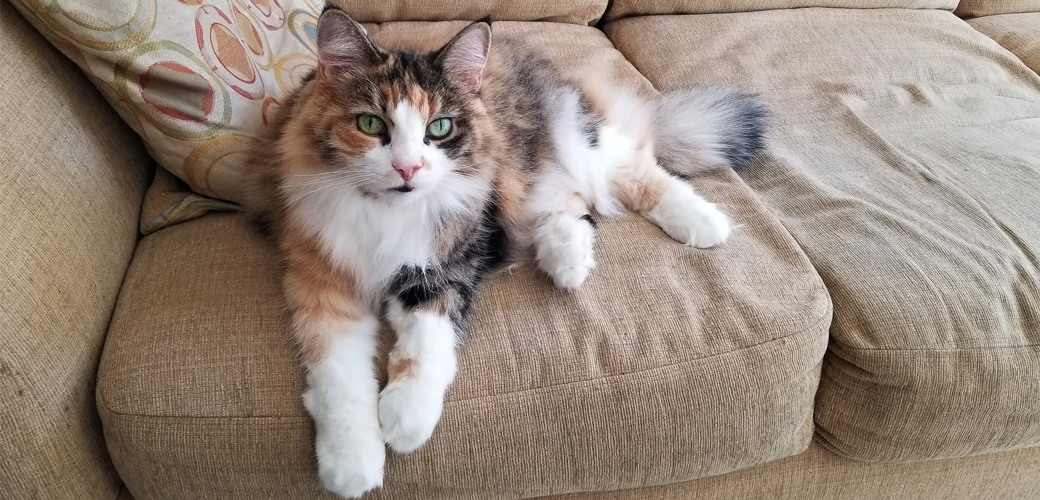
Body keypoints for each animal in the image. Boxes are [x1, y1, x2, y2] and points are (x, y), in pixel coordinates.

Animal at [243, 4, 765, 498]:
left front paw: (405, 420)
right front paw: (351, 466)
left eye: (440, 128)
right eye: (370, 124)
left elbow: (425, 343)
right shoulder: (322, 283)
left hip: (576, 145)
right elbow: (339, 382)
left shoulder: (451, 261)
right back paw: (567, 260)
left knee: (636, 170)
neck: (386, 216)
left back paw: (705, 224)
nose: (408, 168)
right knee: (572, 205)